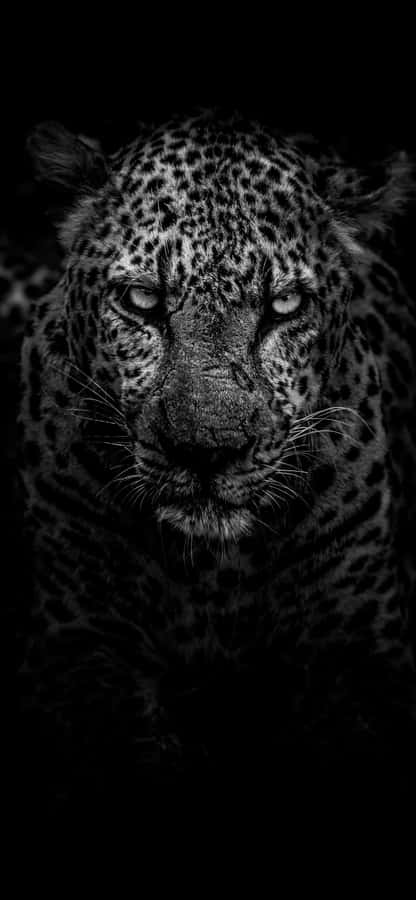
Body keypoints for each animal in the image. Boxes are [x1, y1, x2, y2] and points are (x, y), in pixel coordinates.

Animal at [16, 109, 416, 808]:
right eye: (142, 300)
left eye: (284, 306)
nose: (207, 451)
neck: (213, 572)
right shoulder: (79, 639)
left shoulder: (359, 648)